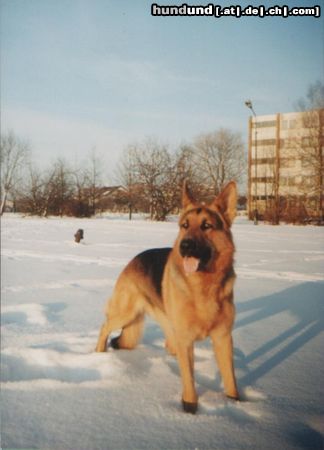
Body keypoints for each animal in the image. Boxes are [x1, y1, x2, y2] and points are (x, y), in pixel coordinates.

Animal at [95, 181, 239, 414]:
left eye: (207, 226)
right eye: (185, 225)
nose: (185, 246)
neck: (203, 287)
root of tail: (133, 259)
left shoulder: (223, 339)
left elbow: (231, 380)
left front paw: (234, 403)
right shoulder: (187, 339)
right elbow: (189, 377)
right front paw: (189, 407)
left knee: (170, 345)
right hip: (125, 313)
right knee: (104, 327)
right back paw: (99, 354)